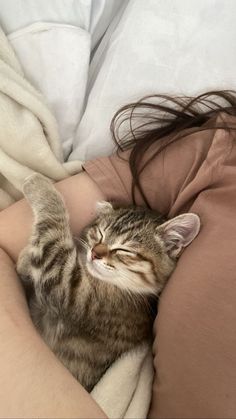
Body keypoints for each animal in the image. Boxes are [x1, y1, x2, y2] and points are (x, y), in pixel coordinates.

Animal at [16, 173, 200, 390]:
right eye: (100, 234)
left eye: (124, 249)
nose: (95, 253)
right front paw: (24, 262)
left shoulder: (71, 287)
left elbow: (52, 238)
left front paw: (39, 185)